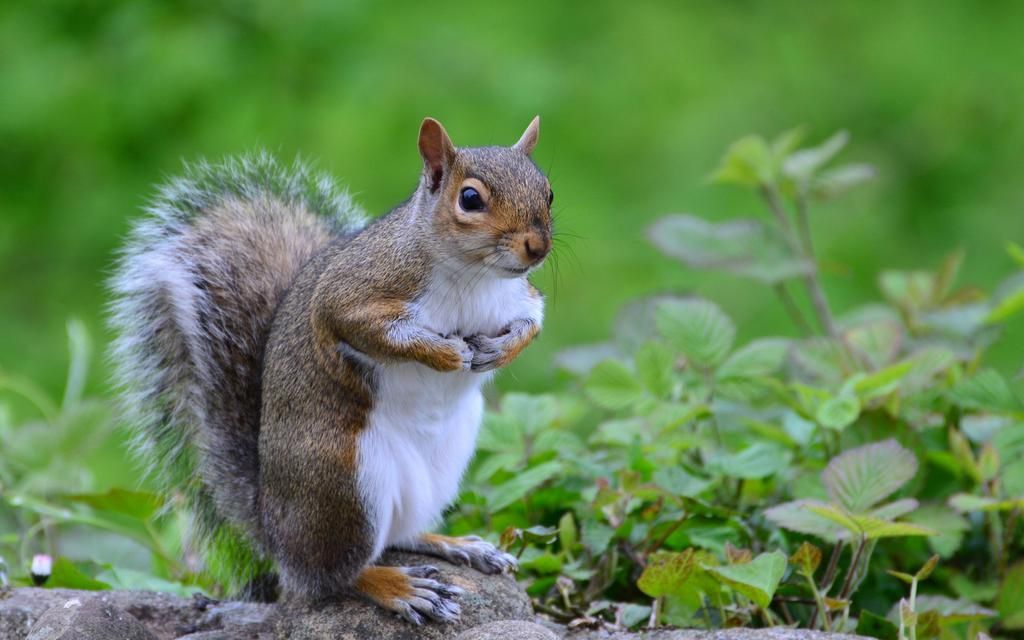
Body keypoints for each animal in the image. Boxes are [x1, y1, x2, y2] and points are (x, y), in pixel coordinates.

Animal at [110, 117, 552, 622]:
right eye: (471, 199)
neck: (475, 276)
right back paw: (398, 587)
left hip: (442, 465)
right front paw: (445, 355)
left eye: (548, 191)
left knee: (400, 534)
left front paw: (500, 350)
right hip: (345, 482)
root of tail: (275, 533)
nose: (537, 247)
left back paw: (457, 545)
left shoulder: (519, 297)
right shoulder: (351, 294)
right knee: (332, 576)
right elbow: (367, 329)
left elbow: (533, 320)